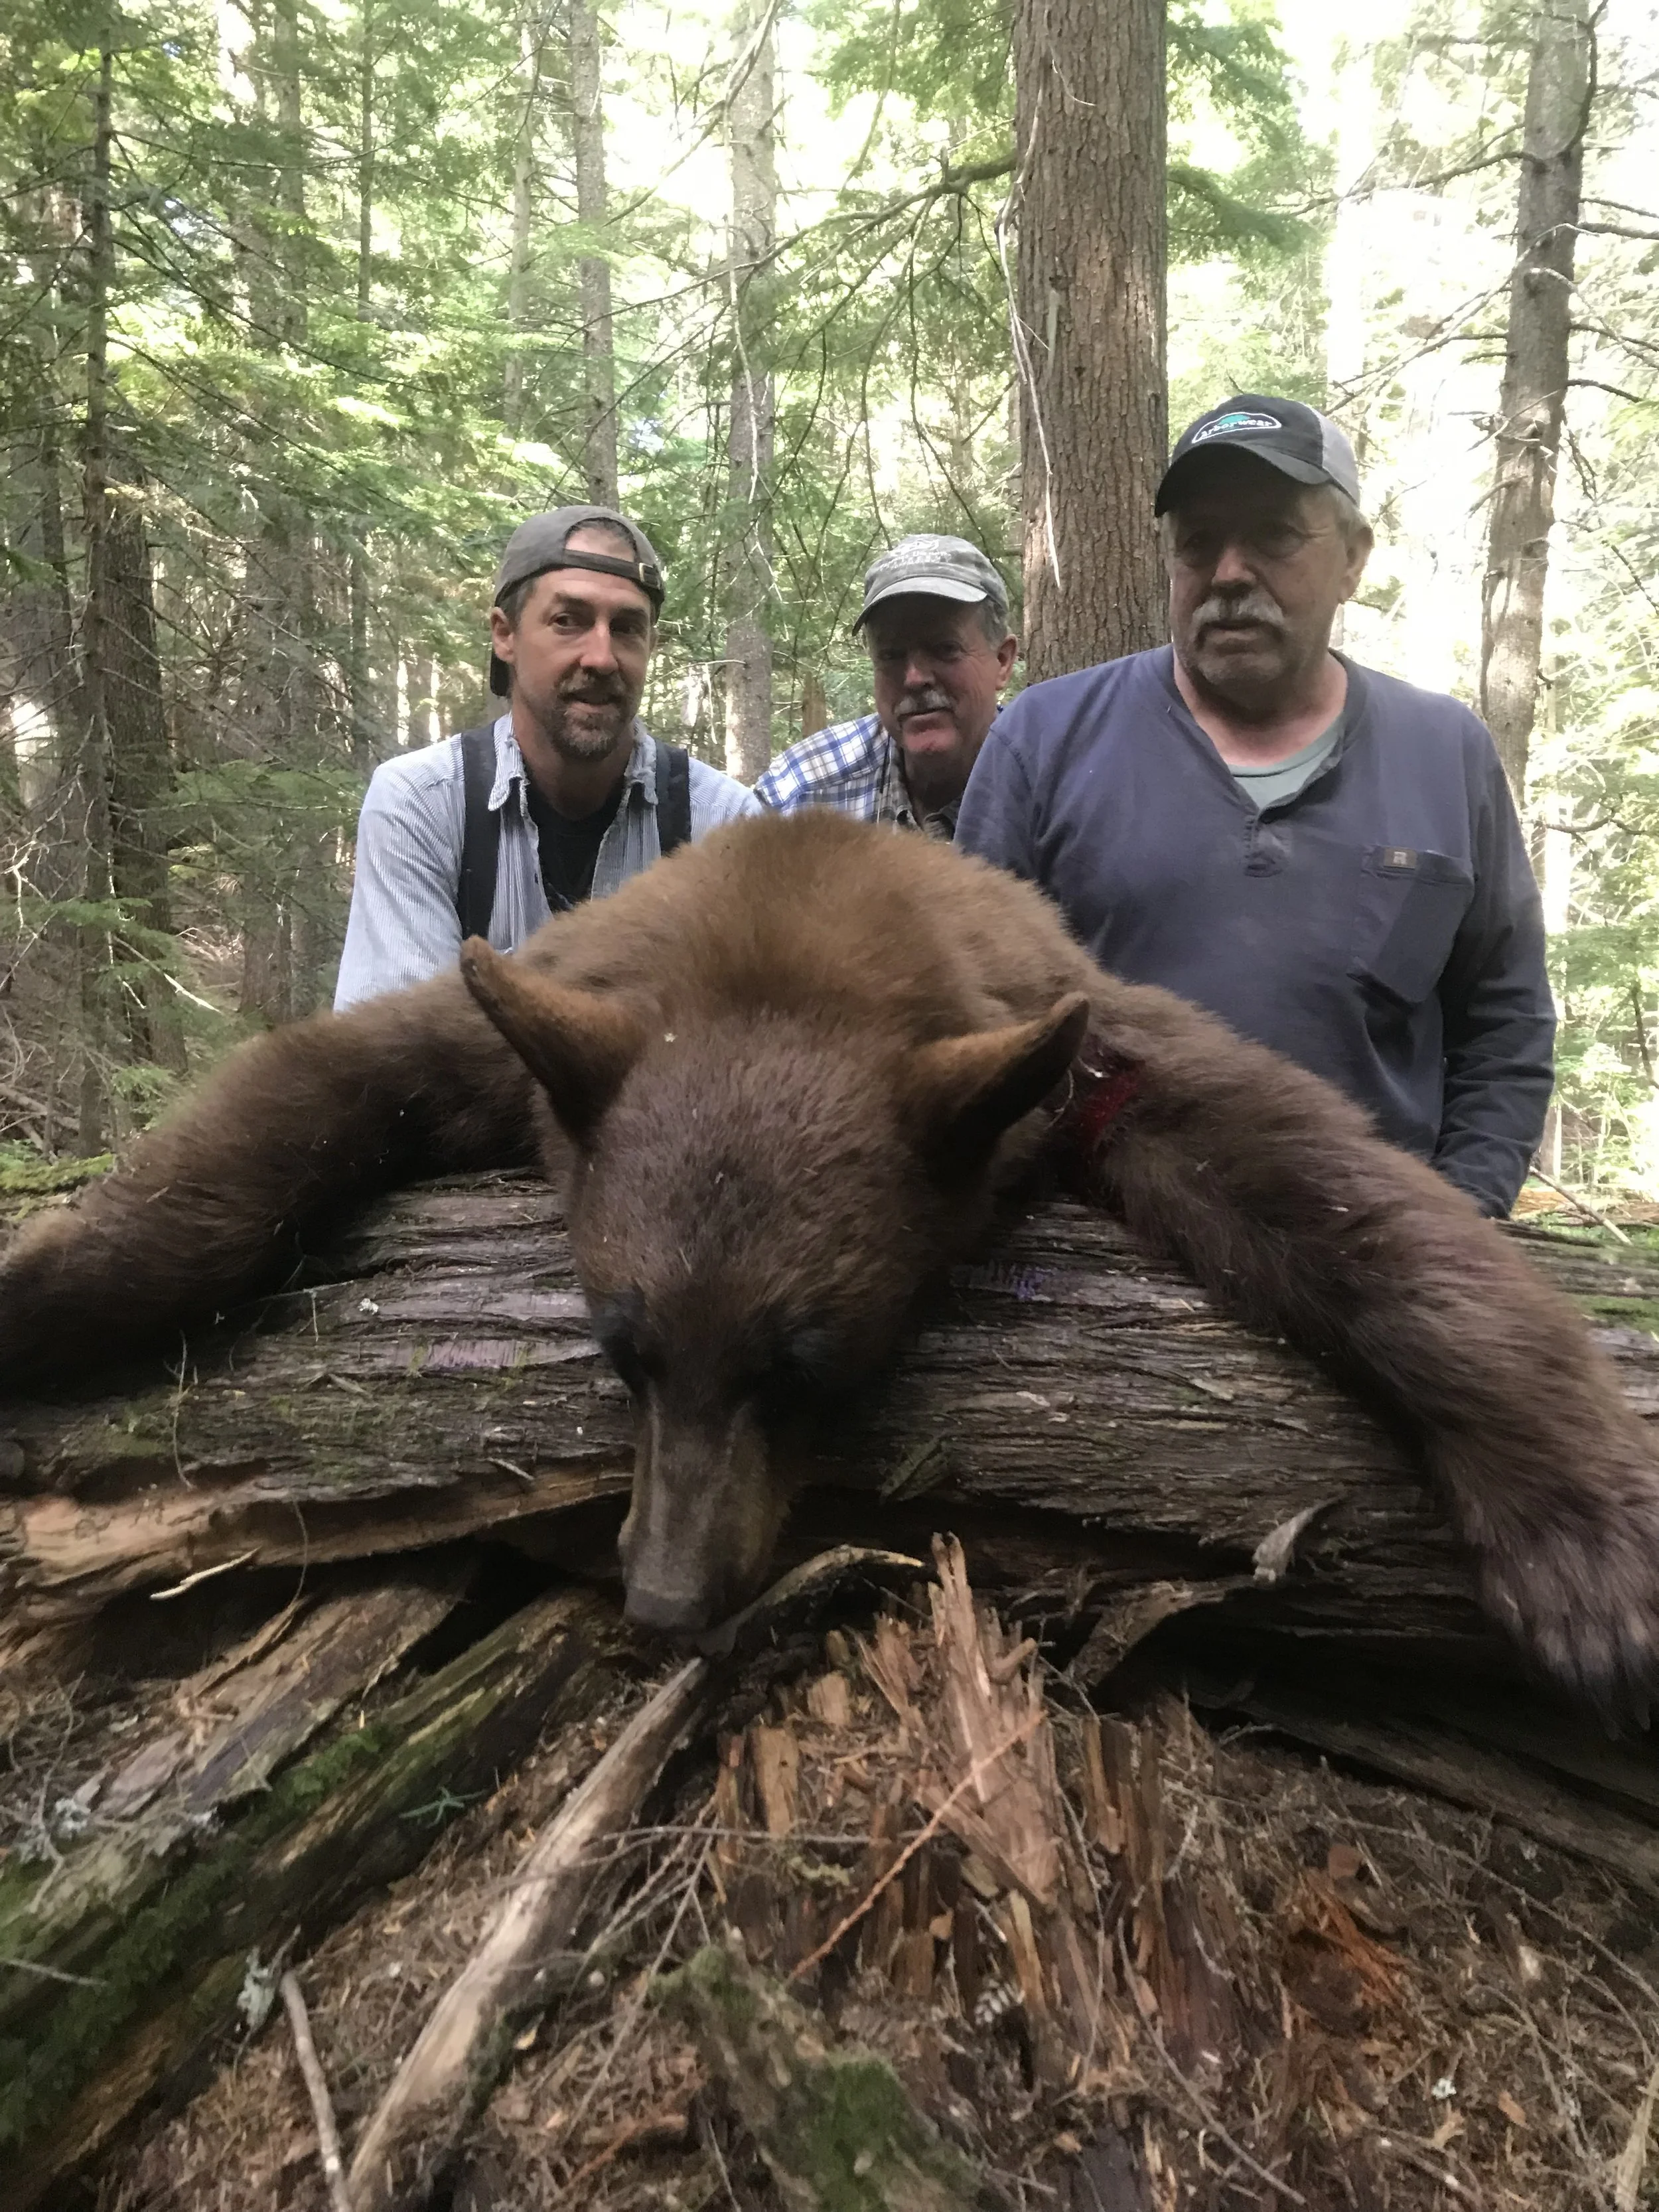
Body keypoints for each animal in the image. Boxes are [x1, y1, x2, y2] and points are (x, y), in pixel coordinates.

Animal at [1, 810, 1656, 1715]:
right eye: (623, 1346)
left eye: (801, 1364)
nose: (664, 1597)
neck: (790, 937)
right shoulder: (545, 1025)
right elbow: (299, 1093)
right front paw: (49, 1291)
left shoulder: (1073, 1047)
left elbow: (1325, 1184)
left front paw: (1580, 1553)